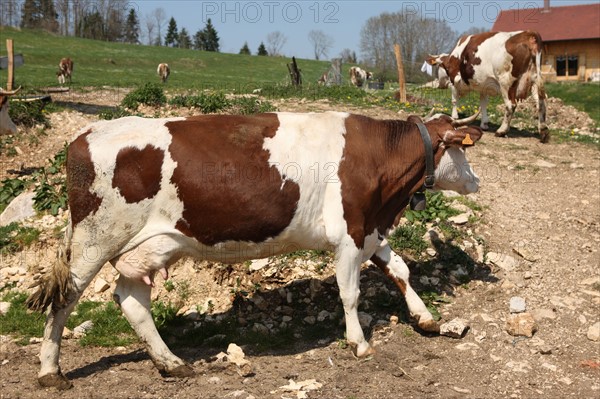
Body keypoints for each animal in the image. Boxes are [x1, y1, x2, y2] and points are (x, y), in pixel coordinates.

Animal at [28, 110, 482, 390]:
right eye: (461, 149)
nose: (476, 181)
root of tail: (84, 135)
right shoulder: (350, 230)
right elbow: (351, 293)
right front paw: (359, 342)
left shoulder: (369, 227)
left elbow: (399, 269)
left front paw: (426, 318)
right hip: (95, 238)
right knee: (66, 298)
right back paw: (50, 370)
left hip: (148, 245)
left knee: (132, 301)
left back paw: (172, 363)